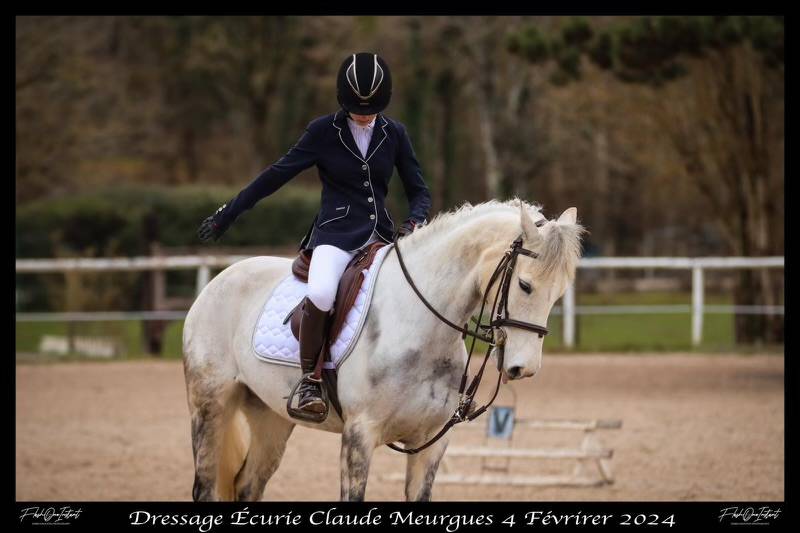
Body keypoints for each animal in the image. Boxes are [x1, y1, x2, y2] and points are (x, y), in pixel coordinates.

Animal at [182, 198, 585, 501]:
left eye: (559, 293)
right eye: (525, 285)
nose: (523, 368)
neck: (421, 324)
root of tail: (220, 278)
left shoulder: (431, 444)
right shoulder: (359, 436)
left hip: (272, 417)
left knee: (248, 486)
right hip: (210, 407)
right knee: (205, 488)